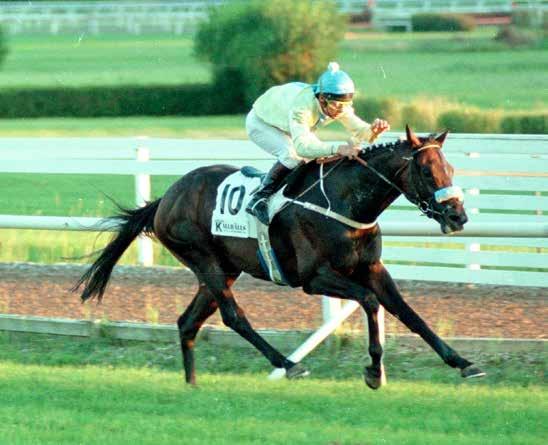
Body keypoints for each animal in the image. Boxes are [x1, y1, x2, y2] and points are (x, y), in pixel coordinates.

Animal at [74, 125, 484, 388]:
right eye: (427, 171)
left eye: (451, 168)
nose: (458, 216)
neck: (345, 202)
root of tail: (165, 198)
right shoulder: (313, 277)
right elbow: (369, 301)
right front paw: (372, 371)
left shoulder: (371, 267)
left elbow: (408, 313)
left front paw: (463, 363)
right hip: (204, 259)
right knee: (234, 316)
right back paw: (288, 365)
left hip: (223, 269)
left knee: (188, 322)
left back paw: (192, 385)